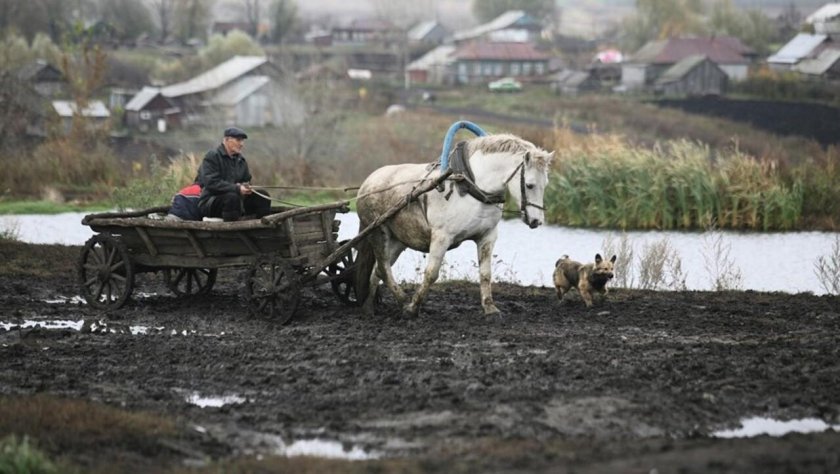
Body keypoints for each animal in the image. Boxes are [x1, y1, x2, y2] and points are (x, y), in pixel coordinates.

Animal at [354, 133, 554, 317]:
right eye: (529, 185)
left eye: (546, 184)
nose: (537, 221)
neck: (472, 186)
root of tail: (367, 183)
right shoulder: (441, 237)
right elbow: (431, 273)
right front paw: (413, 306)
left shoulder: (487, 236)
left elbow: (485, 274)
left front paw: (490, 308)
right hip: (378, 233)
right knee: (383, 268)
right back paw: (403, 300)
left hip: (398, 241)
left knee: (377, 270)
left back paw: (368, 307)